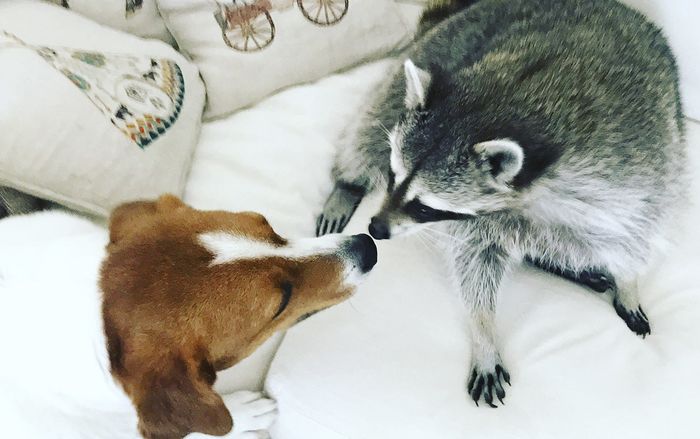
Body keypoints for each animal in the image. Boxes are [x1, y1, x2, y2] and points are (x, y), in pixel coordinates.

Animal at [317, 0, 686, 407]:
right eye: (392, 174)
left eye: (424, 206)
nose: (376, 228)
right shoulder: (478, 220)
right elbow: (474, 263)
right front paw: (483, 330)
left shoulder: (638, 167)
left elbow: (637, 228)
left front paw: (629, 281)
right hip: (430, 52)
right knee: (371, 124)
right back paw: (348, 182)